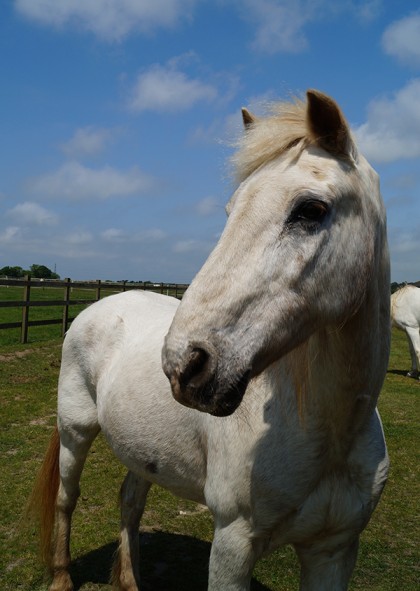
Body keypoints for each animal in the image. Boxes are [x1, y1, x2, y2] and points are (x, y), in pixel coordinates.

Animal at [30, 89, 390, 591]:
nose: (184, 364)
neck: (330, 434)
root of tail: (101, 304)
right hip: (75, 430)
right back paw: (62, 577)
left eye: (310, 210)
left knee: (129, 502)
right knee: (67, 497)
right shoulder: (233, 546)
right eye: (230, 211)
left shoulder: (333, 551)